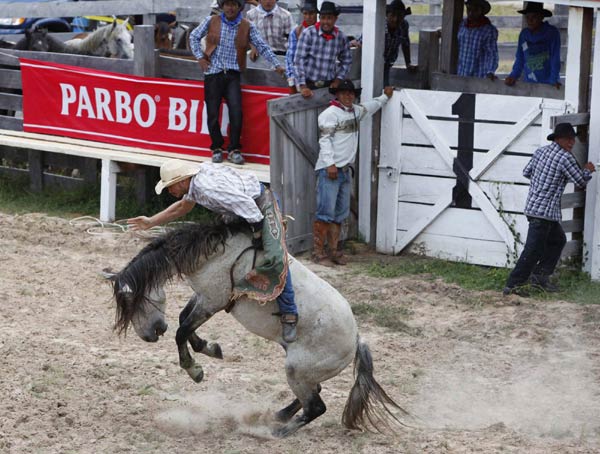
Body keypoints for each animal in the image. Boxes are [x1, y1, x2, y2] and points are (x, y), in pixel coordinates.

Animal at [106, 223, 408, 436]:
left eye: (134, 303)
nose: (149, 336)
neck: (214, 253)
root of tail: (357, 339)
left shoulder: (212, 300)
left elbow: (182, 330)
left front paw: (195, 370)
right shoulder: (205, 297)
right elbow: (183, 321)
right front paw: (210, 348)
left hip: (296, 369)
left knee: (317, 406)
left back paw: (276, 431)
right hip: (304, 370)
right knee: (315, 394)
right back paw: (278, 416)